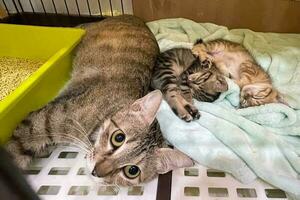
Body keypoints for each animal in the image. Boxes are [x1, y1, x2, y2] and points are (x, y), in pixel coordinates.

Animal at [5, 15, 193, 186]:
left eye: (132, 171)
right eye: (118, 138)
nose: (96, 171)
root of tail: (135, 17)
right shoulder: (37, 122)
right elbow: (13, 151)